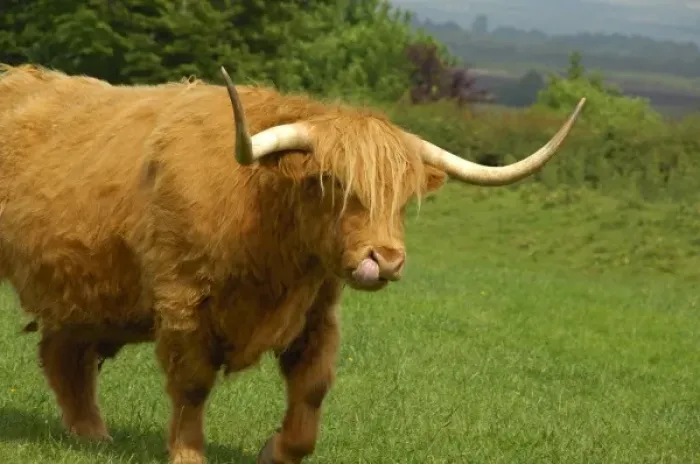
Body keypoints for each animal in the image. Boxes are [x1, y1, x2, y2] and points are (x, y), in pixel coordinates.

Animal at [0, 63, 585, 464]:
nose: (386, 259)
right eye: (331, 183)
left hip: (83, 289)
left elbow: (313, 388)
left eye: (403, 198)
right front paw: (188, 454)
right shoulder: (183, 299)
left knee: (63, 353)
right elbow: (191, 385)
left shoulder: (316, 309)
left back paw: (92, 435)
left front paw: (275, 450)